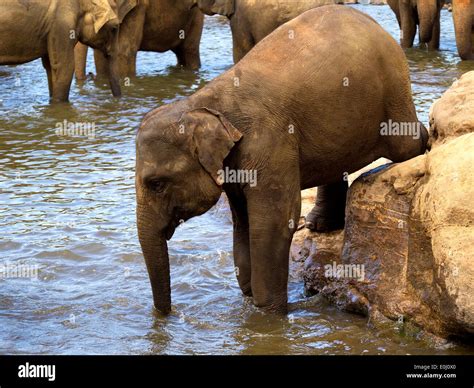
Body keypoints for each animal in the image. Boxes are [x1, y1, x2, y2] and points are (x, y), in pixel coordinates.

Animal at [75, 0, 205, 80]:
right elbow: (100, 55)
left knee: (189, 50)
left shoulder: (138, 7)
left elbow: (123, 51)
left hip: (196, 14)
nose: (90, 74)